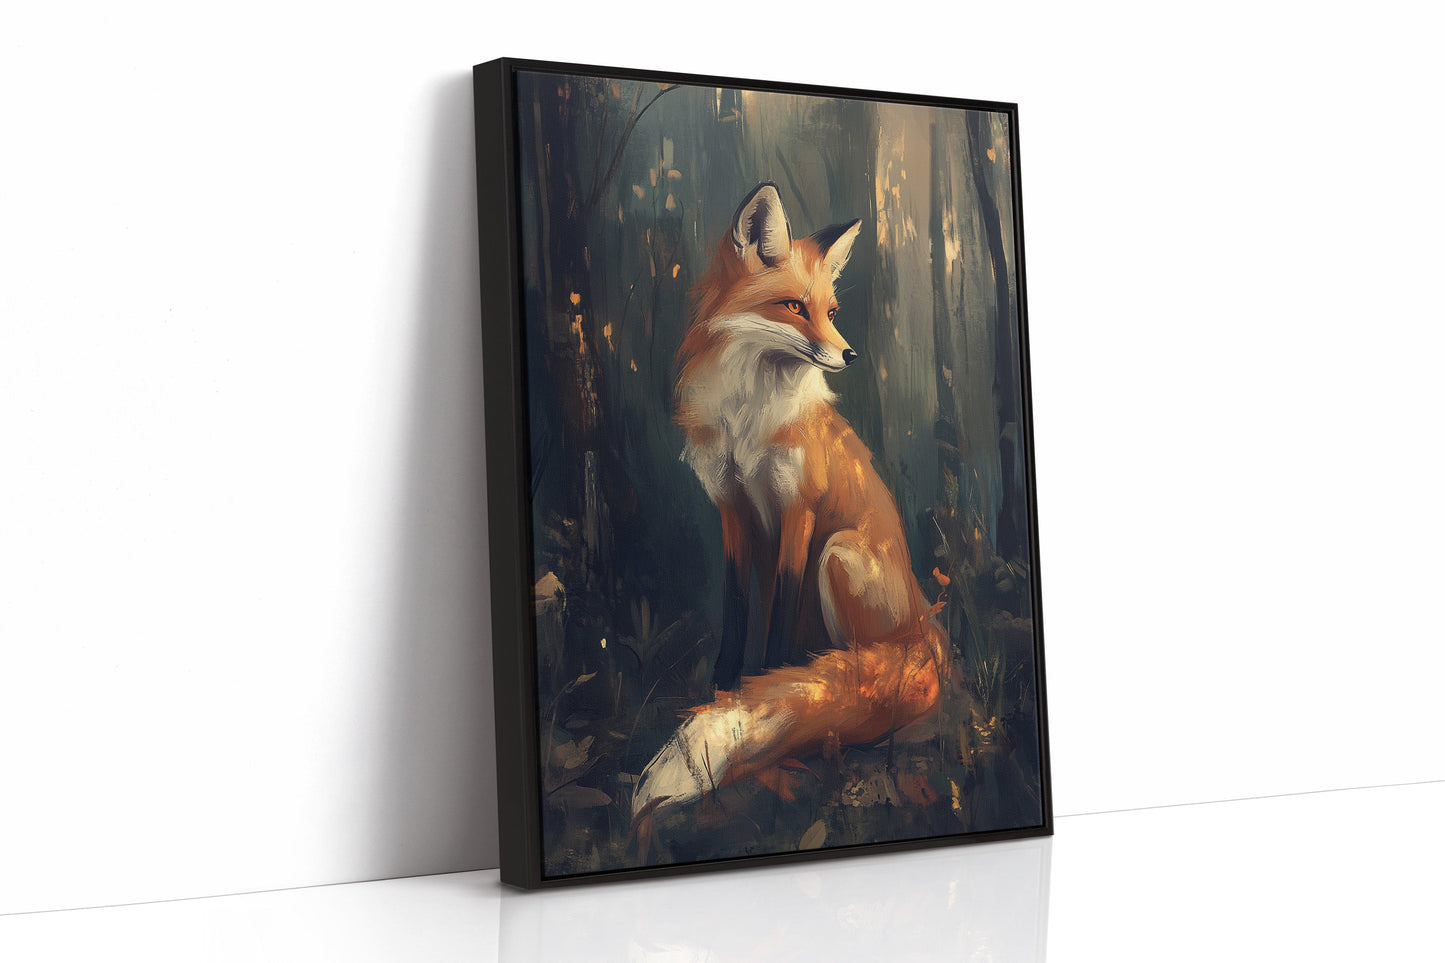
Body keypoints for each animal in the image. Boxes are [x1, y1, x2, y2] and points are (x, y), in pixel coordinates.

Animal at [631, 183, 946, 821]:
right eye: (795, 308)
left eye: (831, 312)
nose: (850, 355)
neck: (747, 419)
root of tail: (925, 631)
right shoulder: (730, 506)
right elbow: (736, 606)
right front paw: (725, 685)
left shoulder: (798, 509)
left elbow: (777, 612)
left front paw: (766, 681)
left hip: (839, 552)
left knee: (865, 675)